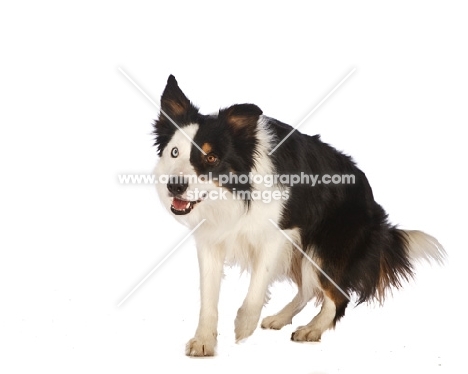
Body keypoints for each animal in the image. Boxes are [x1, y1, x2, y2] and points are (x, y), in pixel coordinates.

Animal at [154, 74, 446, 356]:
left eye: (211, 158)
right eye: (174, 152)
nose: (175, 186)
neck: (236, 194)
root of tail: (374, 208)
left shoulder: (277, 235)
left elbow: (257, 286)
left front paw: (243, 327)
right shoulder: (211, 240)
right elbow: (208, 297)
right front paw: (204, 341)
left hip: (325, 248)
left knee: (337, 295)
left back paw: (312, 329)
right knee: (308, 289)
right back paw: (281, 318)